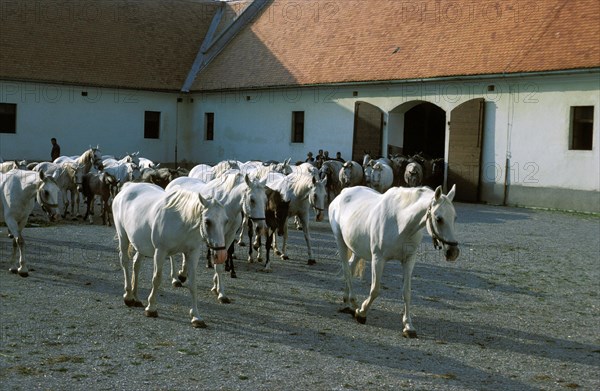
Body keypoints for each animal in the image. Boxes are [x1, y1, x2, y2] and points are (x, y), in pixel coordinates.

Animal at [111, 183, 229, 328]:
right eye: (207, 221)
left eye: (226, 221)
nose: (222, 254)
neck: (182, 221)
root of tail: (128, 187)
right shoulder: (160, 252)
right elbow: (156, 279)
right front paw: (151, 308)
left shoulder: (192, 254)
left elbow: (193, 284)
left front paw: (196, 316)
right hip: (123, 237)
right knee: (125, 262)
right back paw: (128, 296)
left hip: (141, 245)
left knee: (136, 264)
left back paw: (136, 298)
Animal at [328, 185, 460, 338]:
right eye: (439, 219)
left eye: (454, 218)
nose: (453, 252)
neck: (400, 222)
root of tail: (343, 193)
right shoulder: (378, 259)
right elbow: (375, 290)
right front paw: (361, 313)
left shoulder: (409, 260)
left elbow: (407, 292)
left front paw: (408, 326)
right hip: (340, 241)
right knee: (346, 269)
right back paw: (354, 302)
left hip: (357, 249)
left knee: (350, 267)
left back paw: (348, 300)